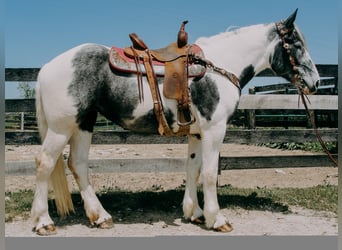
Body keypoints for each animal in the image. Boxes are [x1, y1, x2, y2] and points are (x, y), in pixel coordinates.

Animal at [30, 9, 320, 235]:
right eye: (296, 44)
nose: (315, 82)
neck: (218, 68)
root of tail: (47, 67)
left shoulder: (197, 133)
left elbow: (193, 169)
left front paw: (195, 213)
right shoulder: (214, 130)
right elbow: (210, 173)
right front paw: (217, 219)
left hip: (83, 124)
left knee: (78, 164)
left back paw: (100, 217)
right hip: (61, 128)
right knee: (45, 163)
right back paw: (43, 221)